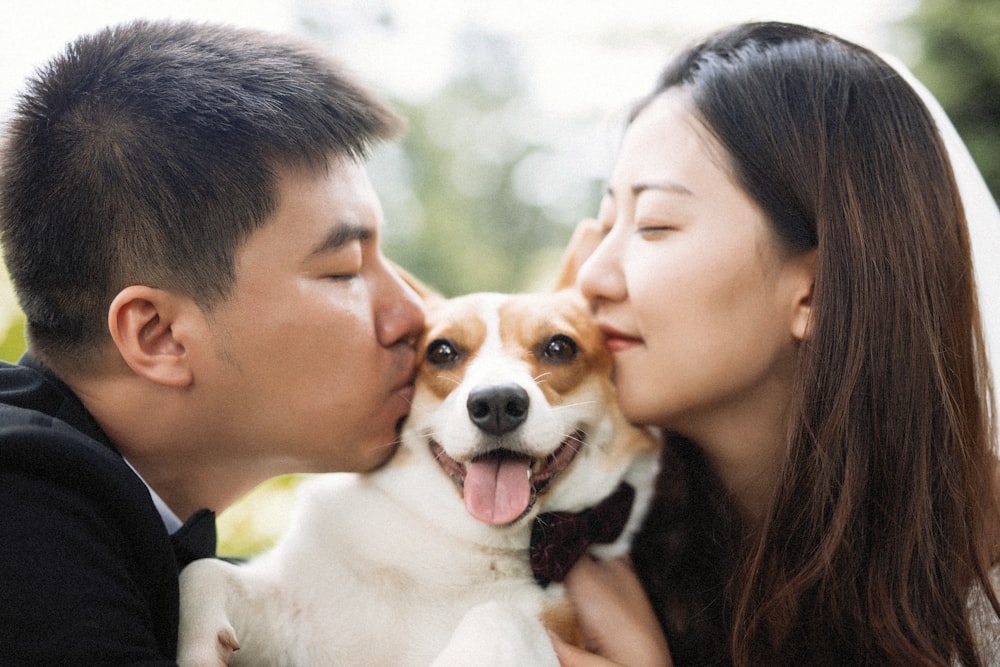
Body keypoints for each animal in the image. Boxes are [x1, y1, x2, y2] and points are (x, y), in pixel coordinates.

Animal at [178, 288, 664, 667]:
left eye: (559, 348)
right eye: (442, 351)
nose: (497, 403)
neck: (458, 541)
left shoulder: (549, 623)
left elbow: (497, 618)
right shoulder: (291, 613)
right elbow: (204, 572)